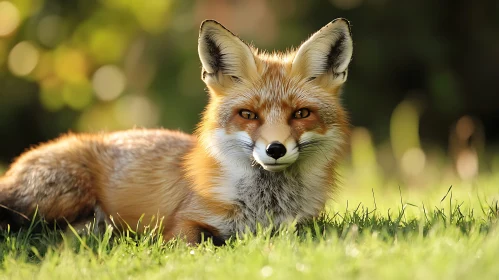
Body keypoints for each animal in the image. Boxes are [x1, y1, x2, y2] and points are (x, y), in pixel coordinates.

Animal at [0, 18, 354, 245]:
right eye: (248, 115)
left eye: (301, 114)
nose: (275, 149)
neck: (263, 208)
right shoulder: (183, 222)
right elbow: (199, 245)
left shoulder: (303, 226)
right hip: (68, 193)